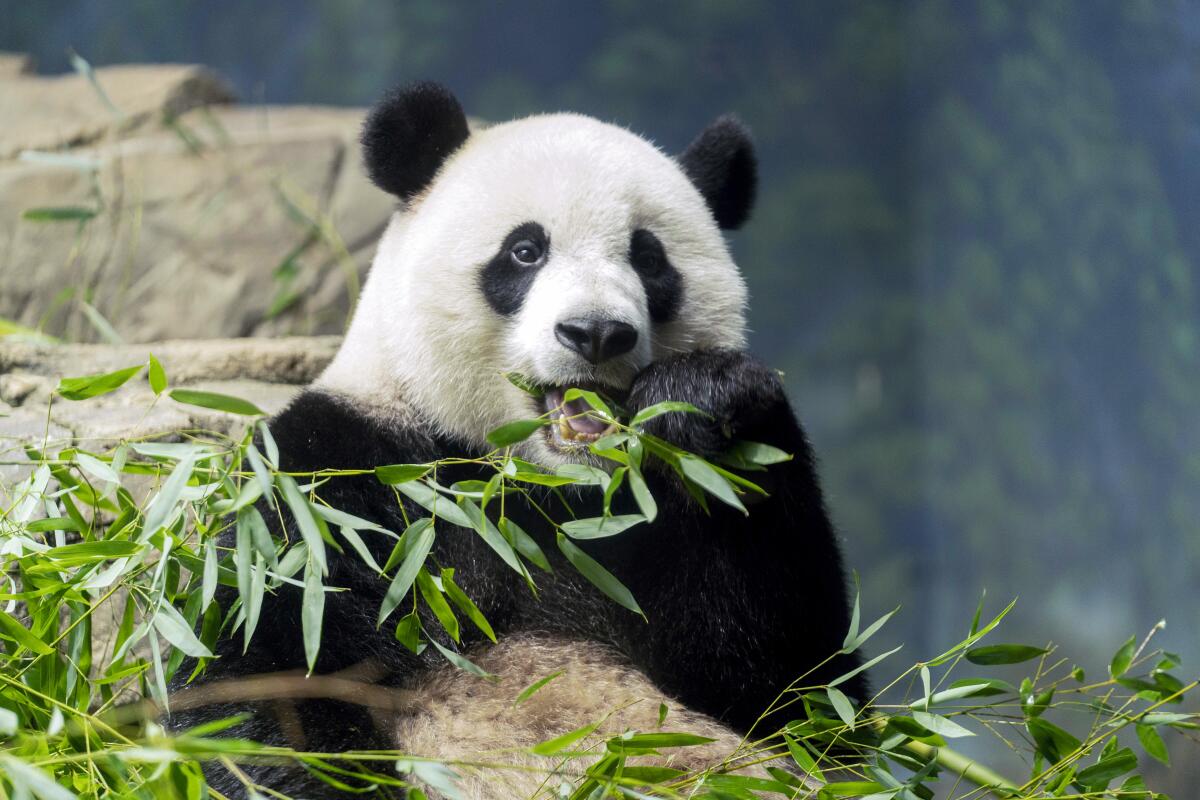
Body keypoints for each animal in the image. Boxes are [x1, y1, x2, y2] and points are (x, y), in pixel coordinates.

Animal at [169, 84, 864, 796]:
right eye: (525, 251)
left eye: (648, 258)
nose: (596, 333)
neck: (537, 480)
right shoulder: (334, 482)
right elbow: (261, 671)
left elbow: (798, 691)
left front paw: (702, 400)